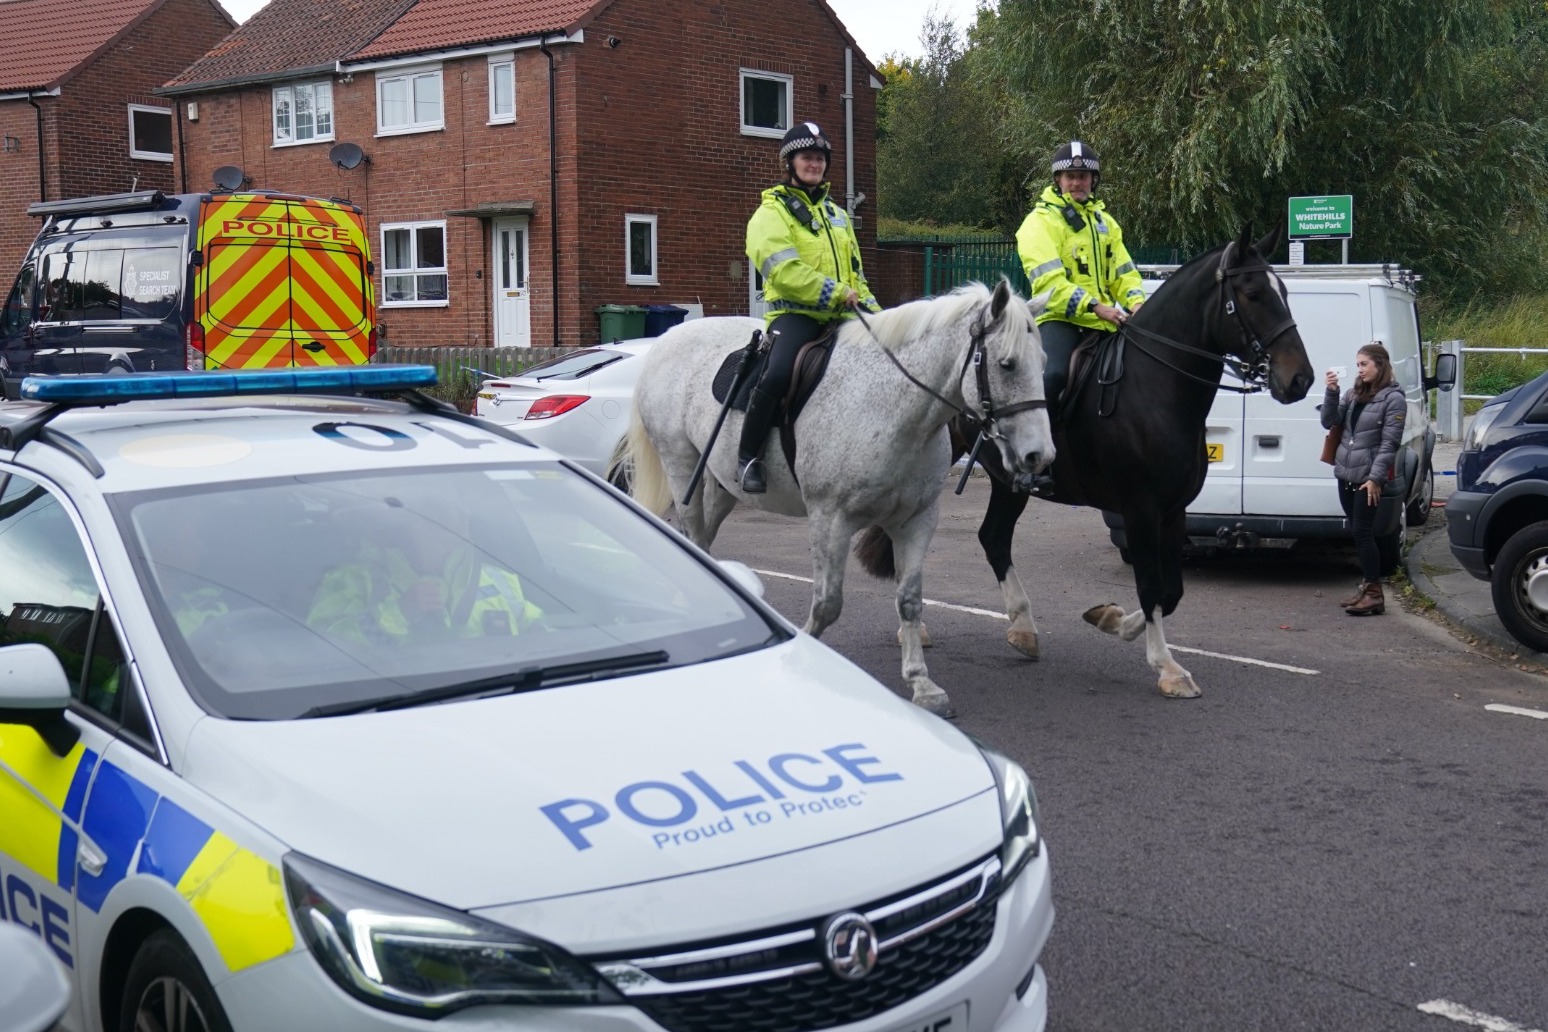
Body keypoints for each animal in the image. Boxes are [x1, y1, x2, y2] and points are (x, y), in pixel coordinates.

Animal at [625, 283, 1052, 717]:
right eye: (1007, 364)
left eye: (1043, 362)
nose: (1040, 456)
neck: (892, 409)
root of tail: (666, 340)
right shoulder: (830, 518)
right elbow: (828, 603)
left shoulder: (917, 520)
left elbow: (910, 601)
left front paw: (922, 685)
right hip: (681, 468)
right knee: (692, 534)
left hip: (722, 484)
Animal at [854, 222, 1312, 699]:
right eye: (1253, 293)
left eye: (1283, 292)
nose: (1300, 378)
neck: (1154, 389)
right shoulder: (1140, 510)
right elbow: (1152, 587)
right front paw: (1166, 667)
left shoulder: (1174, 511)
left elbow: (1171, 591)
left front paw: (1110, 619)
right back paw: (917, 629)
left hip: (1009, 484)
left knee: (993, 538)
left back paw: (1022, 629)